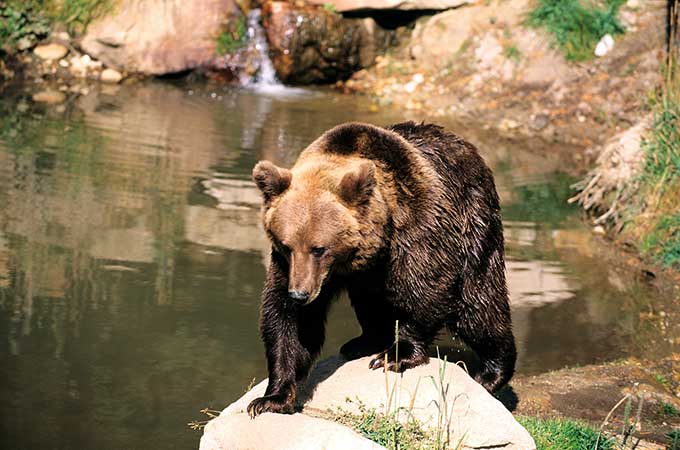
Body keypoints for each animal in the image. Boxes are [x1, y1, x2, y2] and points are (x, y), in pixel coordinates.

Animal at [248, 121, 516, 416]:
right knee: (371, 304)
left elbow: (426, 287)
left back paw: (492, 372)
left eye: (319, 248)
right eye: (287, 246)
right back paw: (362, 341)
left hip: (474, 224)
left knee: (478, 304)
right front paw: (271, 397)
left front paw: (395, 355)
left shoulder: (419, 226)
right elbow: (288, 321)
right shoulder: (292, 269)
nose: (300, 294)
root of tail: (466, 146)